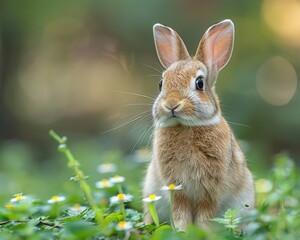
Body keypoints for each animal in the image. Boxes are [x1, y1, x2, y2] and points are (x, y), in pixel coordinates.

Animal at [144, 20, 255, 231]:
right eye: (161, 83)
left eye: (200, 83)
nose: (171, 104)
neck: (187, 126)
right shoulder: (177, 189)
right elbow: (180, 213)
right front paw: (182, 231)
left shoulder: (210, 191)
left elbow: (205, 215)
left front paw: (202, 232)